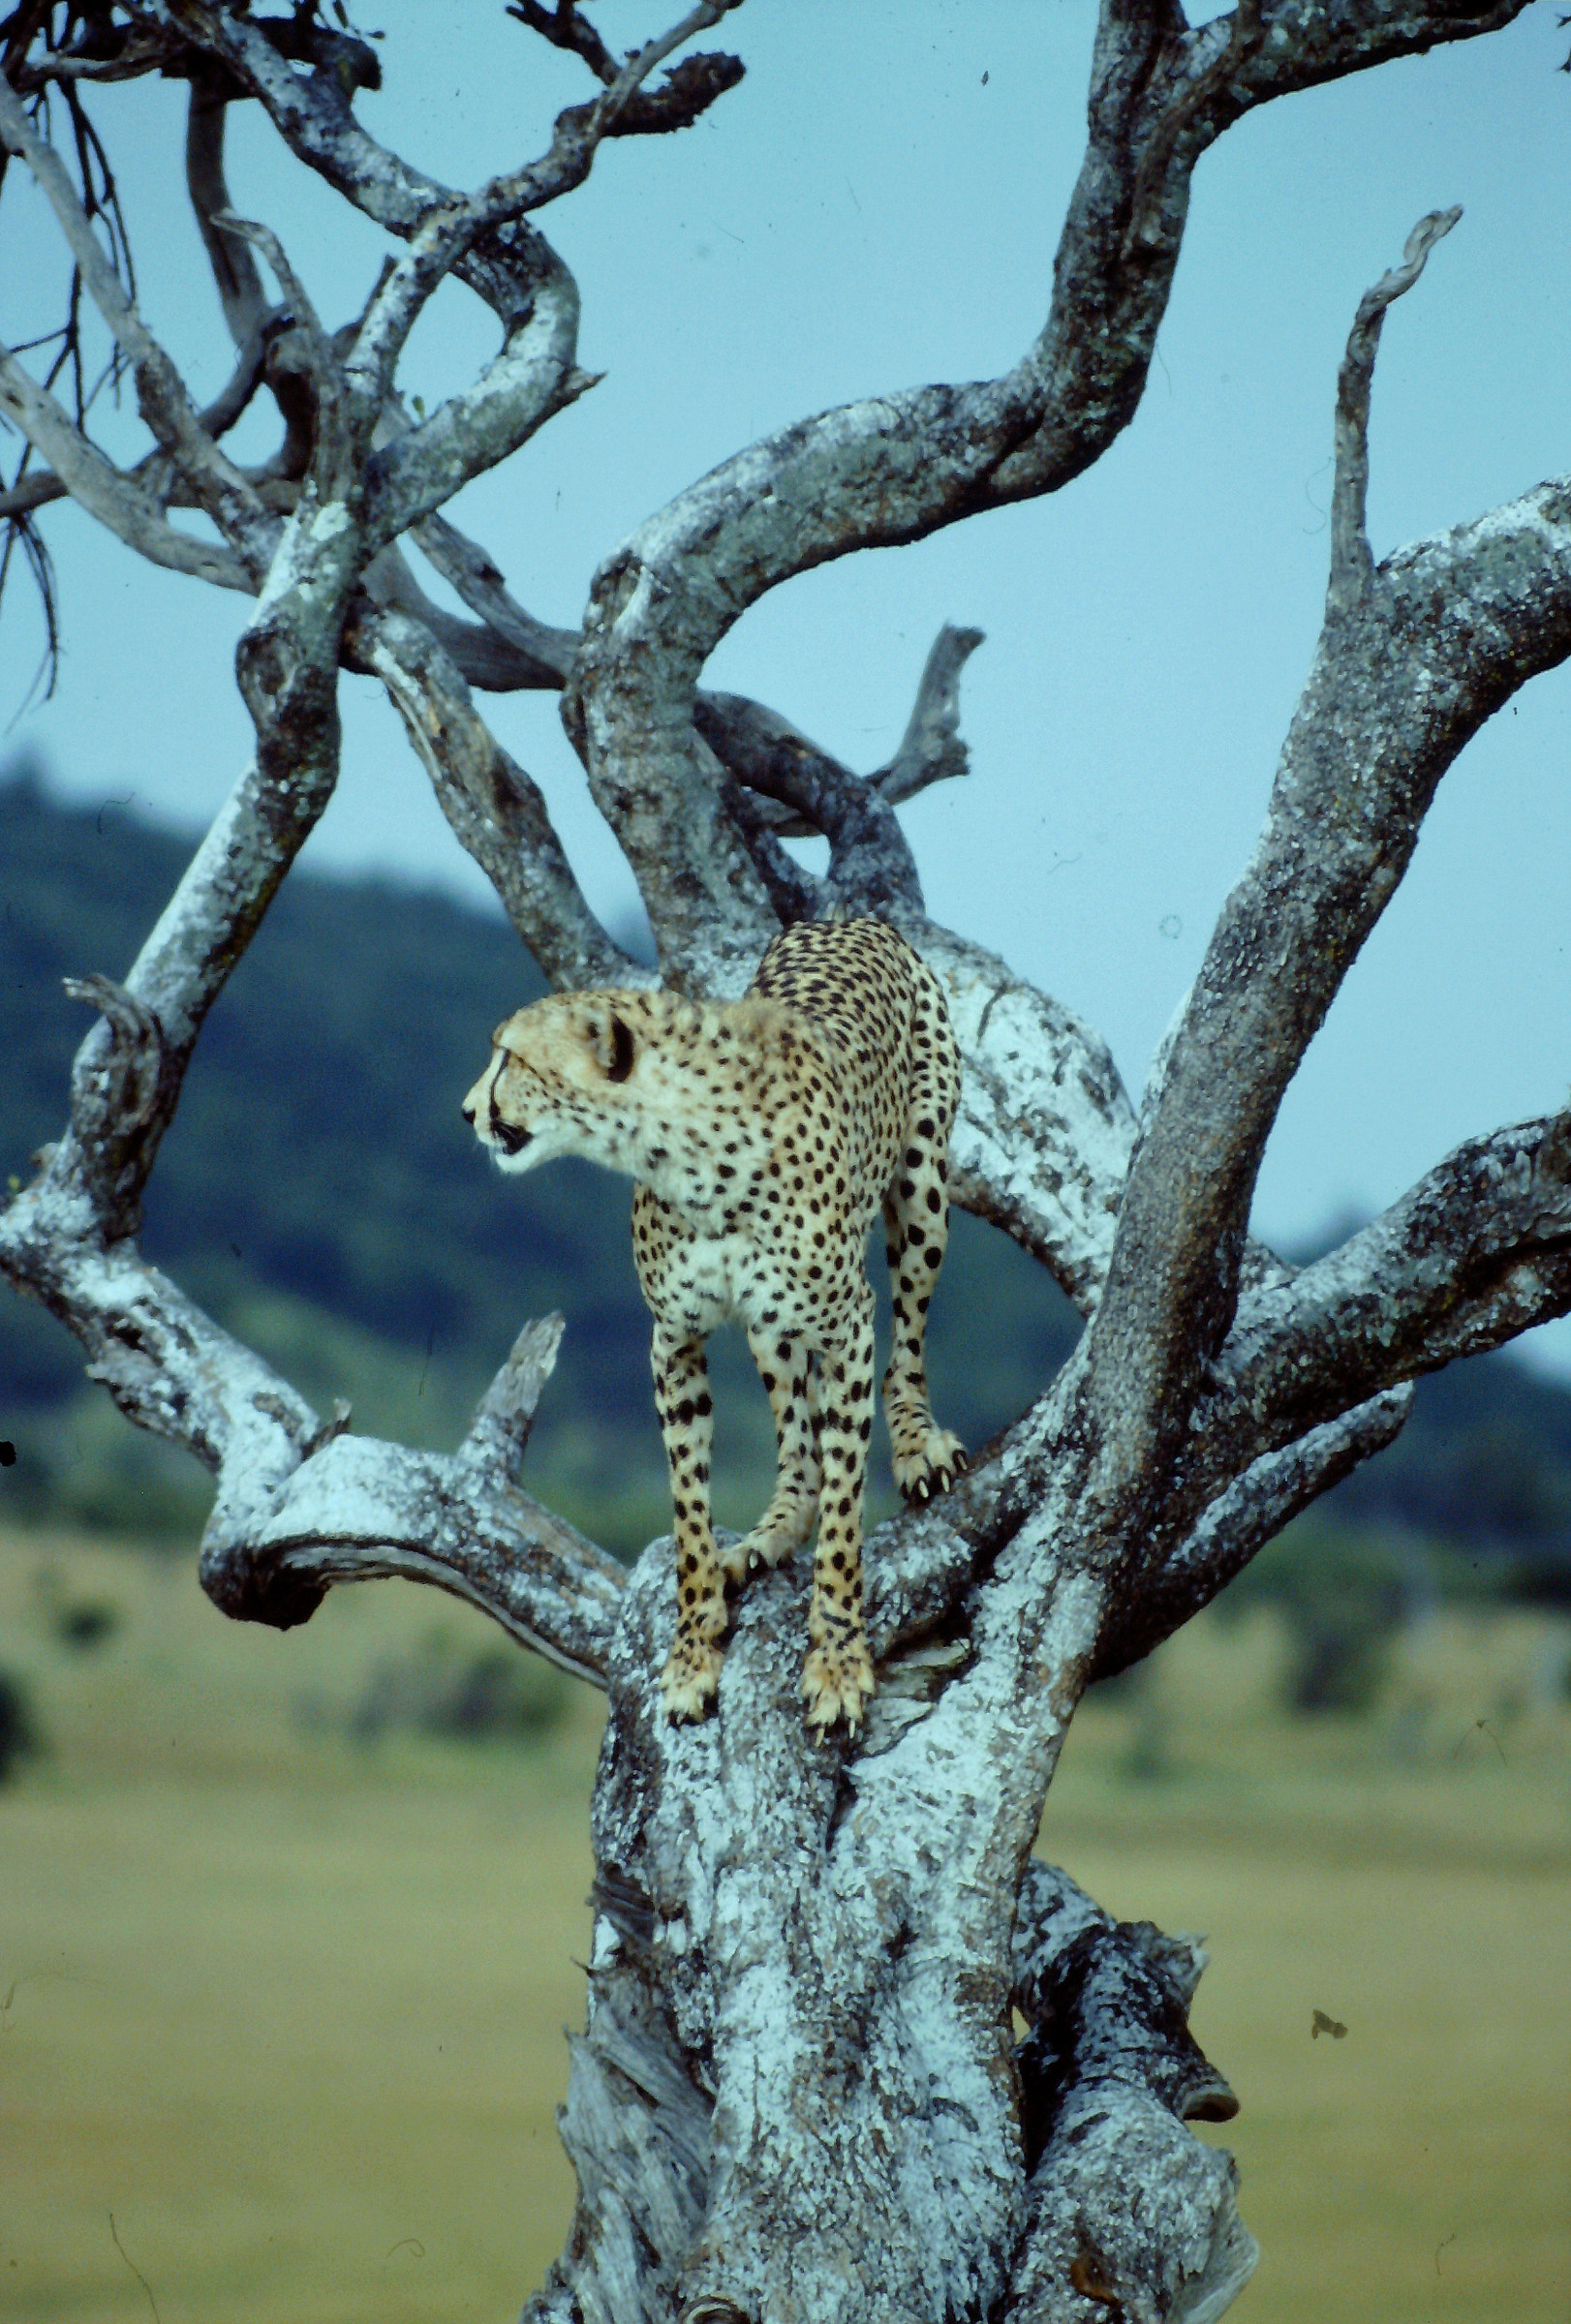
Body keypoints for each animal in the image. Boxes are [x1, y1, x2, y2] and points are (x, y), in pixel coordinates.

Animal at [461, 916, 966, 1736]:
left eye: (512, 1057)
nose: (468, 1109)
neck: (693, 1155)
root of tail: (843, 918)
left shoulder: (849, 1326)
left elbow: (844, 1524)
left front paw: (836, 1663)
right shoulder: (674, 1336)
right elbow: (689, 1511)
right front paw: (692, 1656)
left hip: (923, 1188)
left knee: (909, 1337)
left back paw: (919, 1445)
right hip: (771, 1323)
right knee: (798, 1440)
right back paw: (772, 1532)